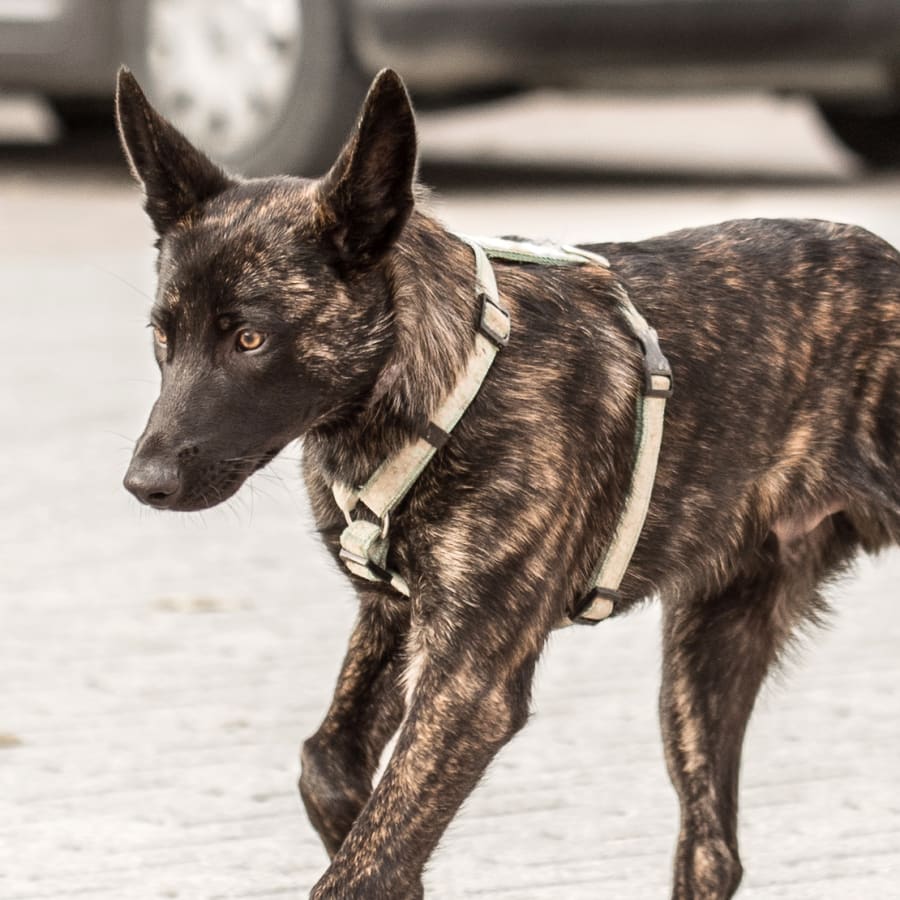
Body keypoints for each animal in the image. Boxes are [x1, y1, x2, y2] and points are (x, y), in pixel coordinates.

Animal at [116, 65, 896, 900]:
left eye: (250, 338)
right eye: (162, 336)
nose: (143, 483)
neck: (446, 382)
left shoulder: (469, 684)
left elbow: (363, 862)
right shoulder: (394, 619)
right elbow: (326, 768)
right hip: (709, 648)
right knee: (713, 849)